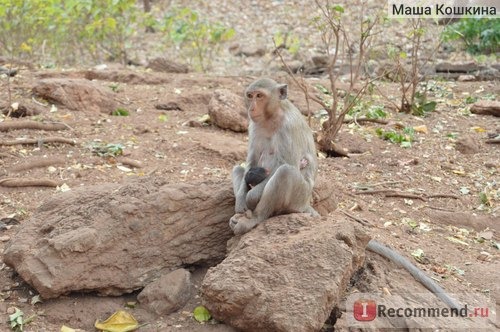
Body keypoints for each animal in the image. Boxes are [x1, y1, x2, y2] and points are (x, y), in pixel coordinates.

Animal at [229, 78, 318, 235]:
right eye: (250, 96)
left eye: (259, 96)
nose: (251, 109)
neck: (271, 116)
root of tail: (306, 203)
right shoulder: (254, 125)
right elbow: (251, 161)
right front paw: (241, 201)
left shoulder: (289, 127)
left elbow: (287, 164)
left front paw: (251, 197)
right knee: (238, 169)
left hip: (299, 198)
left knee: (285, 172)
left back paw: (255, 217)